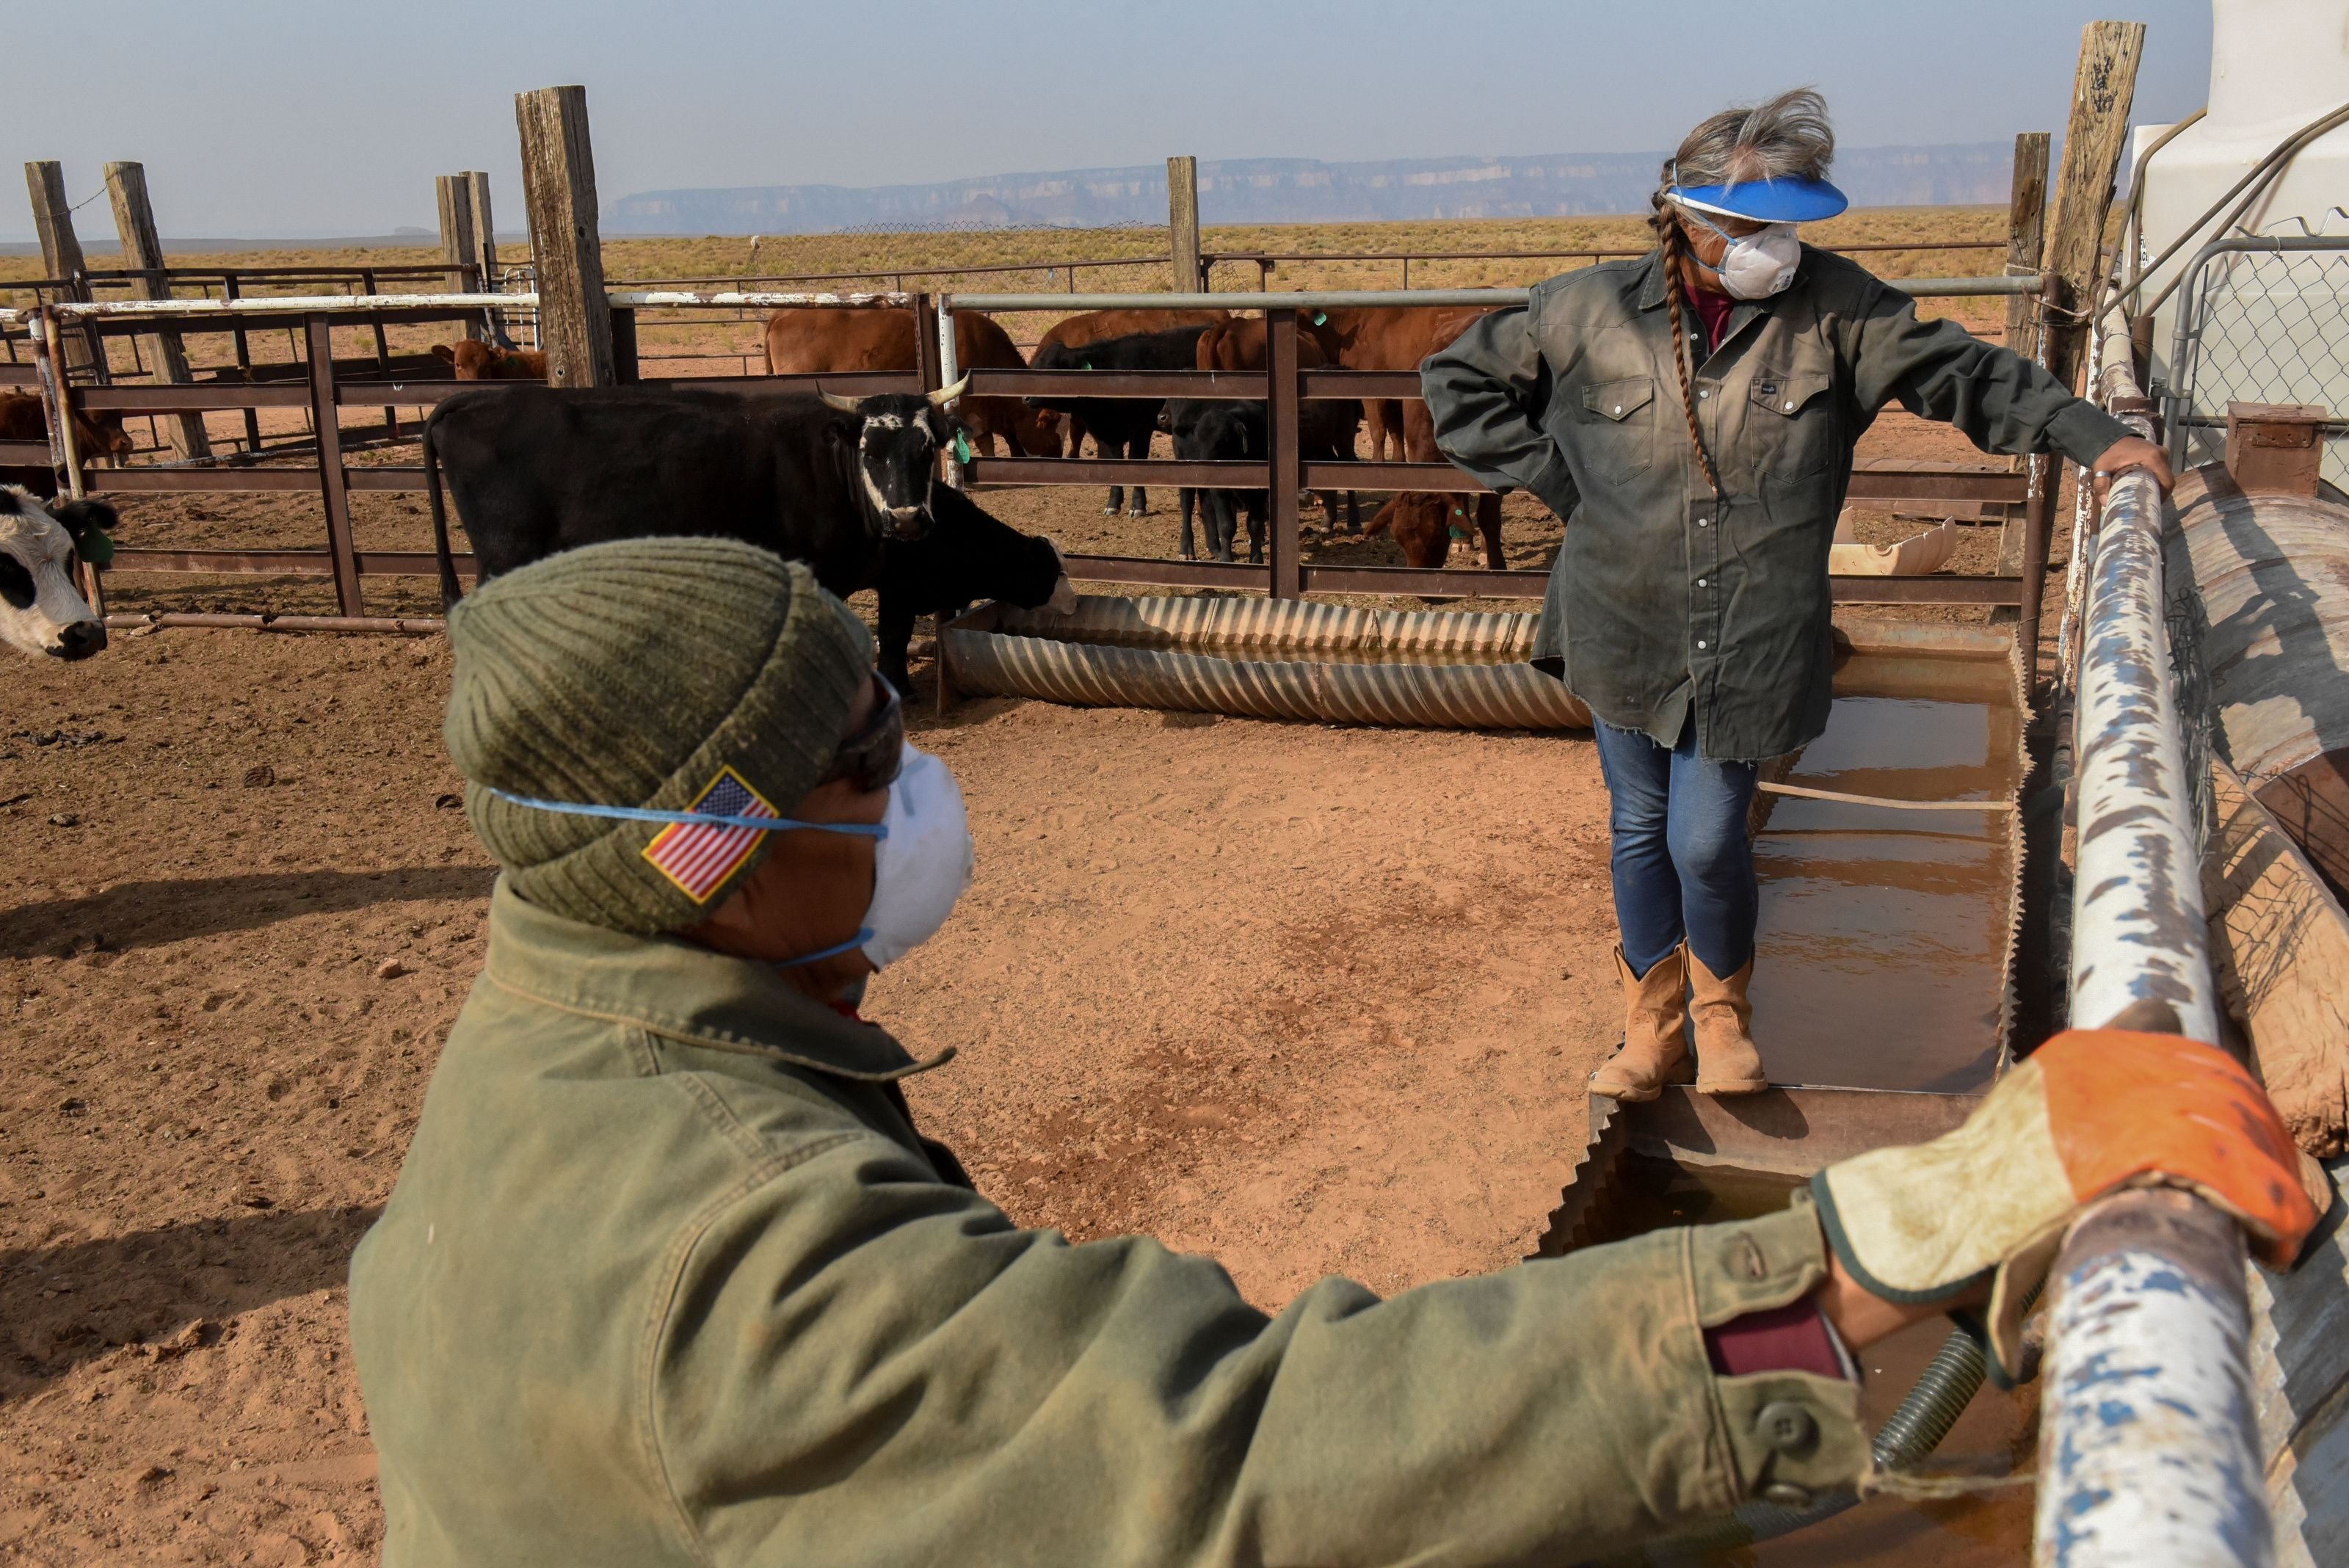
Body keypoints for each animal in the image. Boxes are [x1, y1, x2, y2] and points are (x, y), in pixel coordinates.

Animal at [1028, 328, 1212, 516]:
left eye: (1050, 367)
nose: (1026, 397)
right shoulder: (1111, 434)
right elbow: (1115, 462)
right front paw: (1113, 504)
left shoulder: (1140, 429)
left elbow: (1135, 460)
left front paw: (1138, 506)